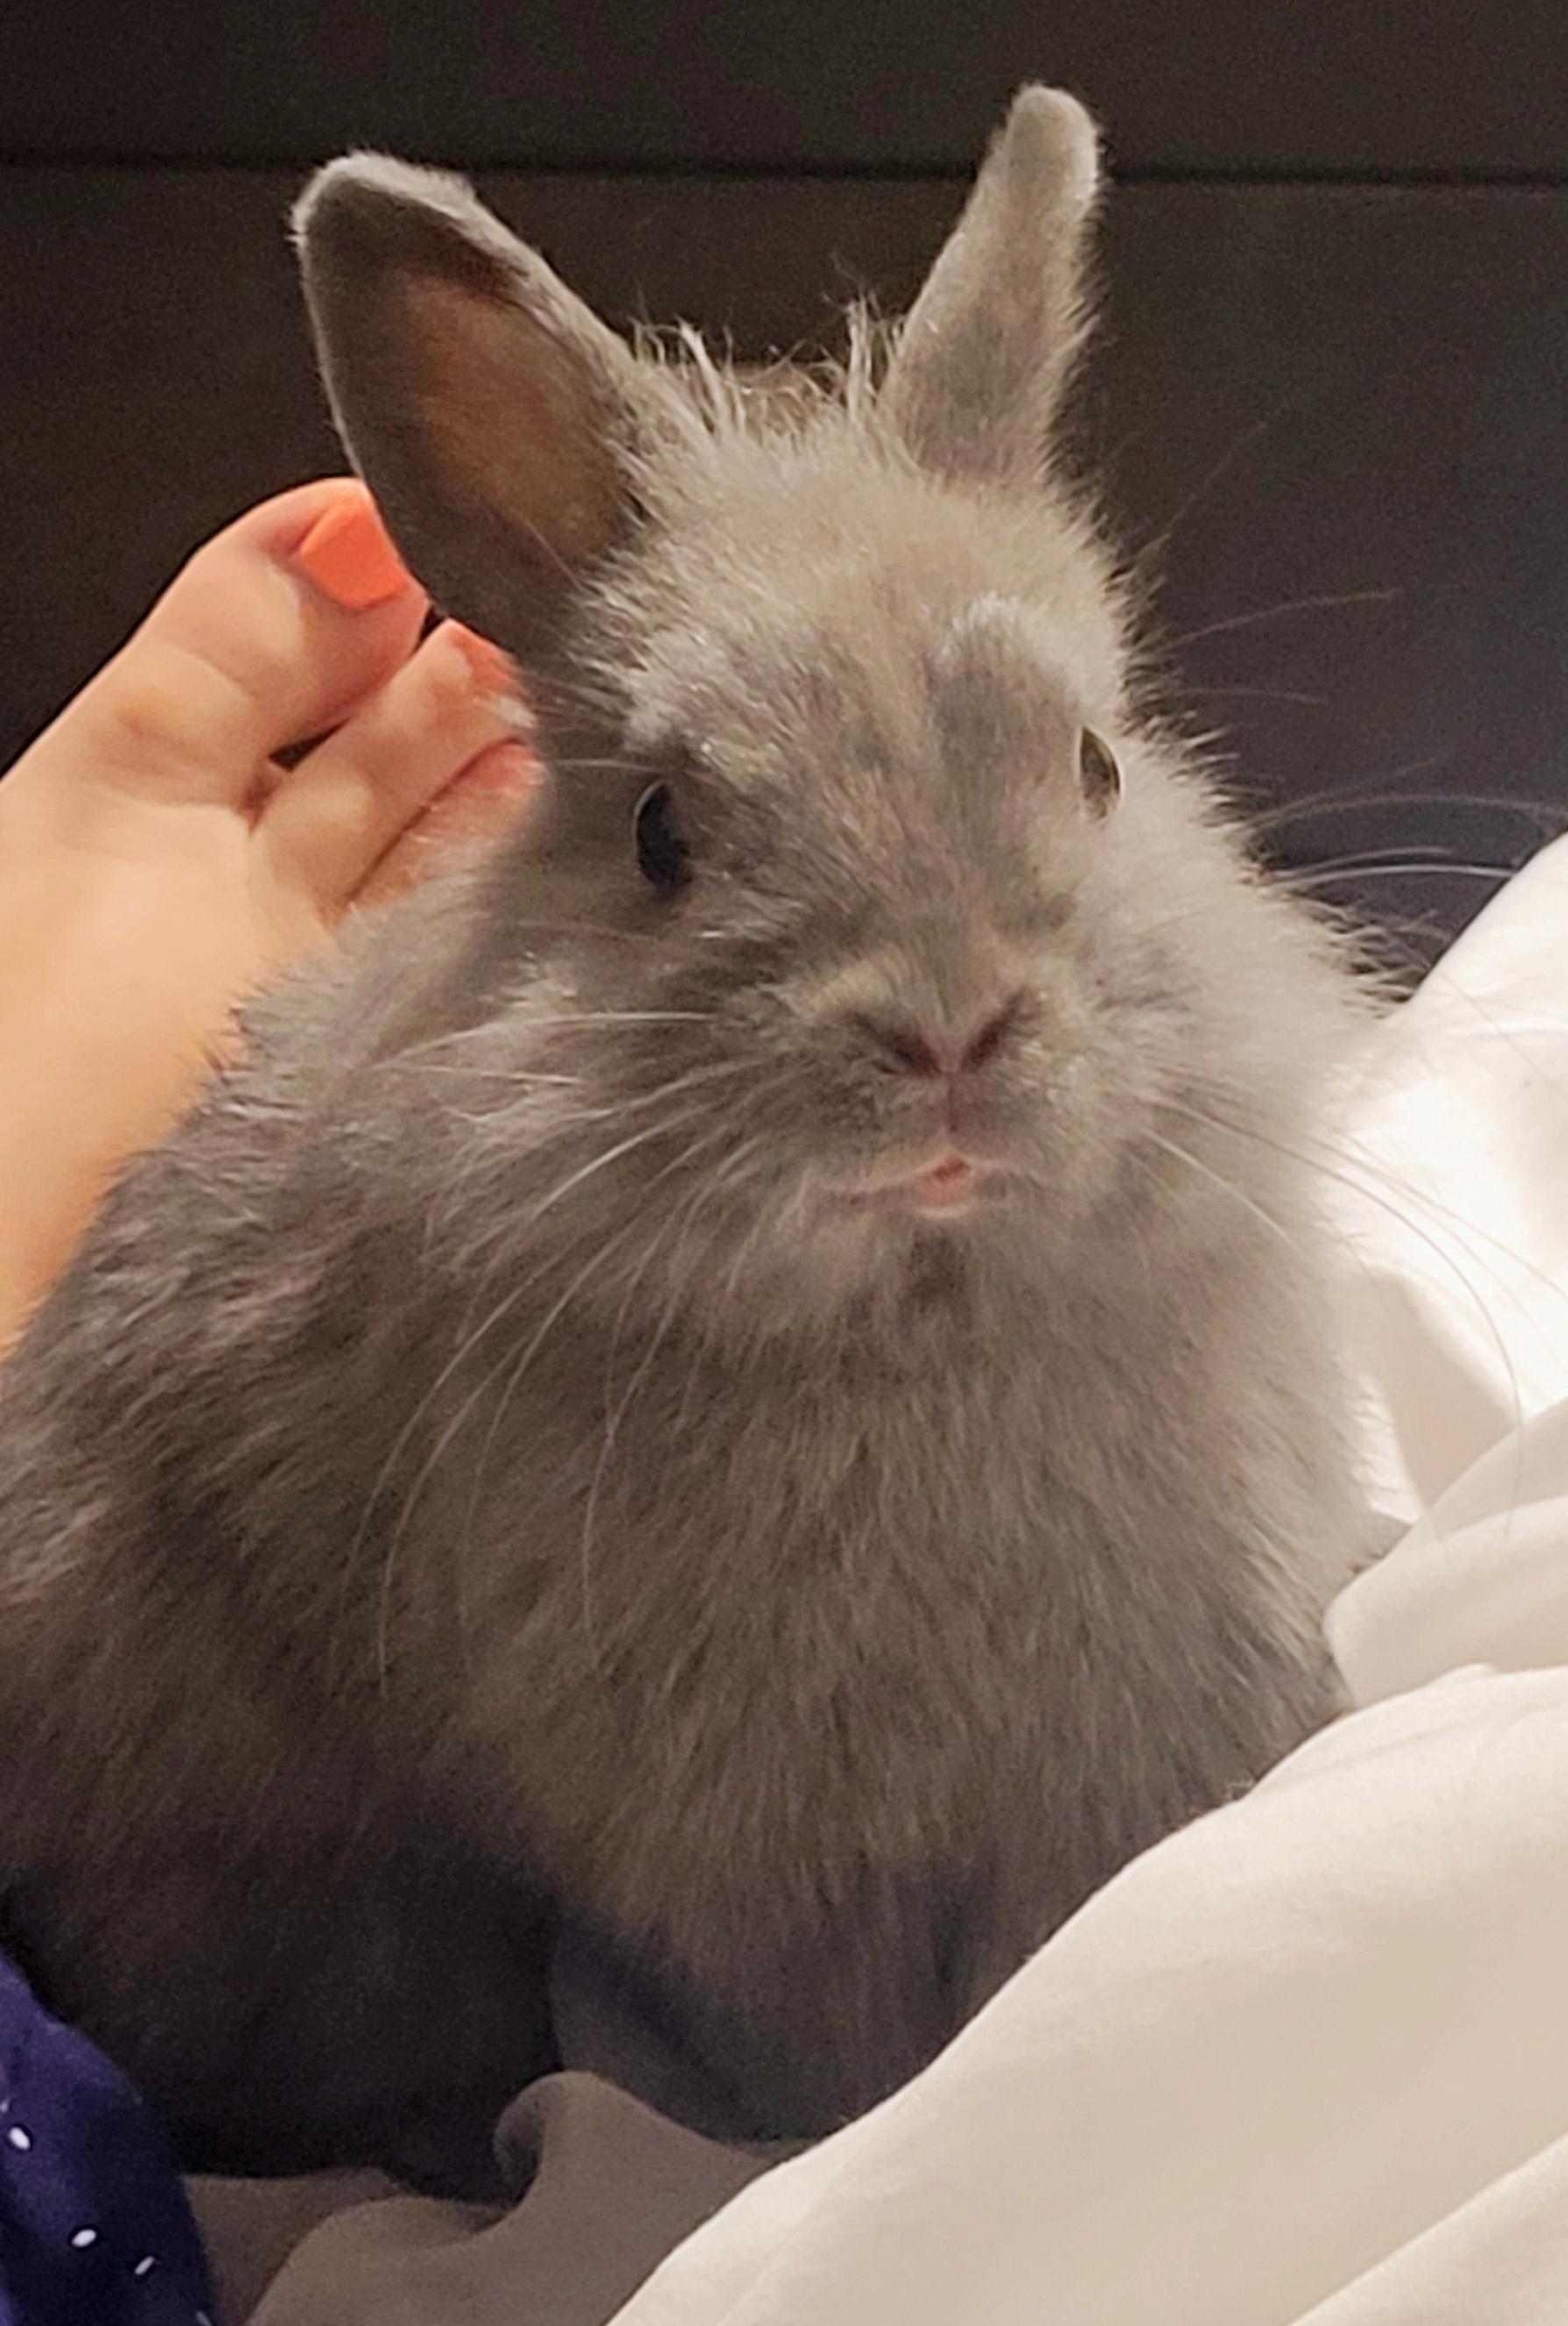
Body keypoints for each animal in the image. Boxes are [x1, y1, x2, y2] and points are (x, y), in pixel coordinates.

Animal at [0, 87, 1373, 2195]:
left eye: (1094, 764)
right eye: (661, 833)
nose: (948, 1031)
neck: (913, 1335)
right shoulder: (756, 1884)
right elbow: (837, 2055)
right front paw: (839, 2147)